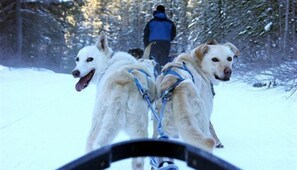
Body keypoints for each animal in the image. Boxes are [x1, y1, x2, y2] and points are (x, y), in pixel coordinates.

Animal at [71, 31, 156, 170]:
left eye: (90, 59)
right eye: (77, 59)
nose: (75, 72)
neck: (108, 63)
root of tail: (121, 86)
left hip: (98, 124)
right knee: (138, 162)